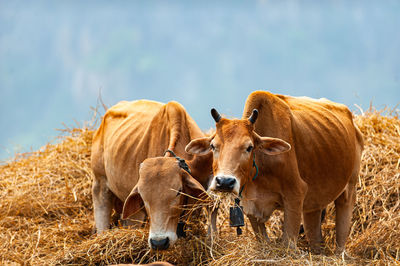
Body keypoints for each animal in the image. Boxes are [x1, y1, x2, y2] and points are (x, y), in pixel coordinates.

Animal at [186, 91, 364, 254]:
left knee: (342, 229)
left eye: (249, 147)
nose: (224, 182)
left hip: (349, 188)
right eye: (213, 146)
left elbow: (288, 243)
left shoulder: (295, 194)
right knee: (315, 236)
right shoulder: (251, 208)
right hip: (313, 204)